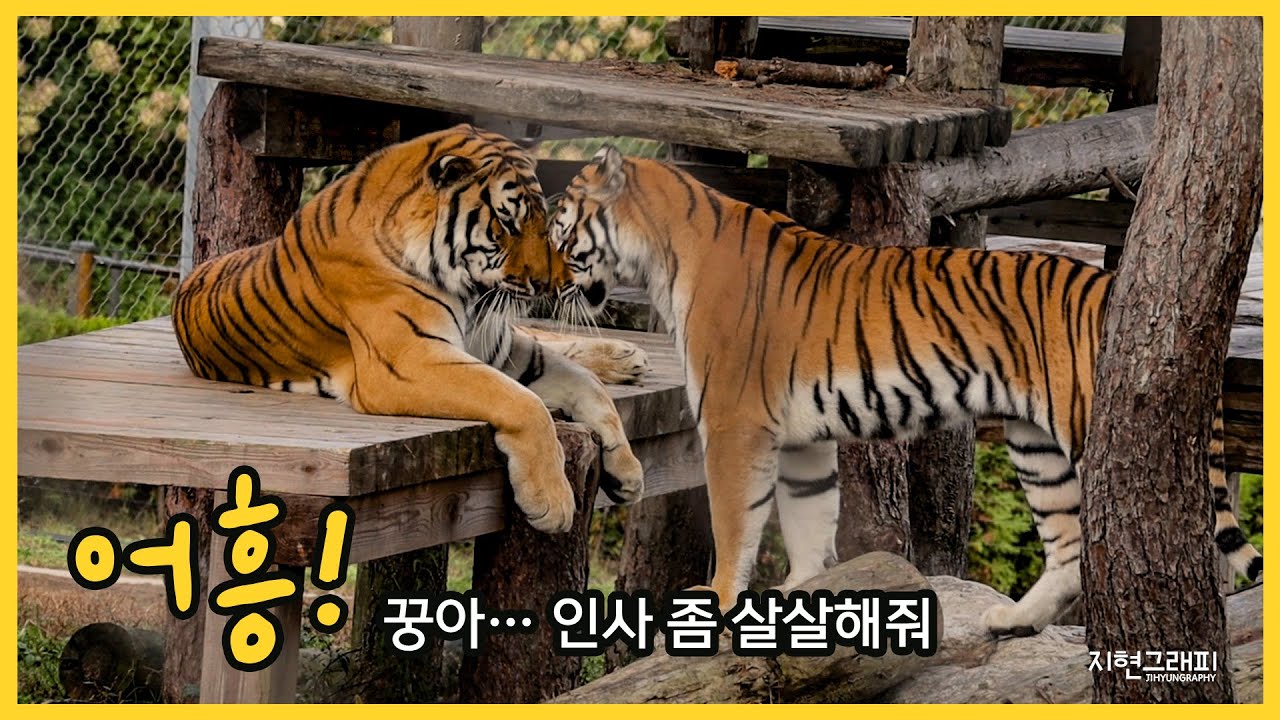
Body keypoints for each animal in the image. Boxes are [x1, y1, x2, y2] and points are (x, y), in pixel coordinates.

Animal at [171, 125, 649, 533]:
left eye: (539, 220)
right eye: (507, 223)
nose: (547, 283)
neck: (469, 293)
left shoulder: (500, 348)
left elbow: (587, 386)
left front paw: (627, 473)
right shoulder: (408, 360)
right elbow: (524, 402)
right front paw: (552, 502)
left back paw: (628, 357)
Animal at [549, 145, 1262, 637]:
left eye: (558, 229)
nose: (542, 282)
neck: (661, 252)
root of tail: (1109, 281)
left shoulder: (733, 425)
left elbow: (734, 527)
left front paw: (720, 605)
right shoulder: (801, 440)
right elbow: (810, 523)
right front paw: (799, 597)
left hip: (1091, 434)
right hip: (1037, 447)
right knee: (1066, 549)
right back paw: (1013, 622)